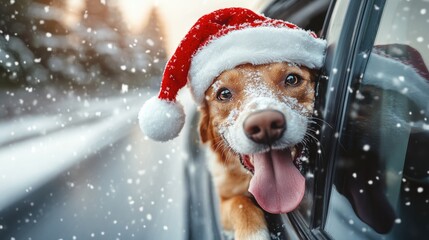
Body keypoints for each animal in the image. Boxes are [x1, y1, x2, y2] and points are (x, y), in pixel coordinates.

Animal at [197, 61, 314, 238]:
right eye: (224, 94)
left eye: (292, 79)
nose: (265, 124)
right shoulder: (224, 199)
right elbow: (240, 203)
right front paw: (252, 234)